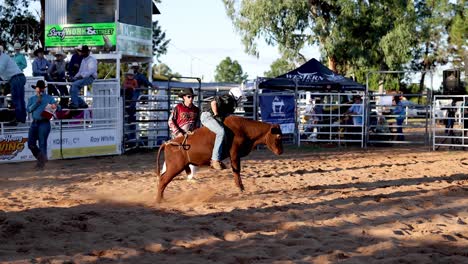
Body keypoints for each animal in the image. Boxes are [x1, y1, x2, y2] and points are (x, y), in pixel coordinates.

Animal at [155, 114, 284, 203]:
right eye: (278, 136)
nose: (281, 152)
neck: (244, 129)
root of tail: (167, 144)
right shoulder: (235, 154)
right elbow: (237, 170)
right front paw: (240, 187)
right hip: (175, 166)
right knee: (163, 180)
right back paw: (159, 200)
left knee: (162, 178)